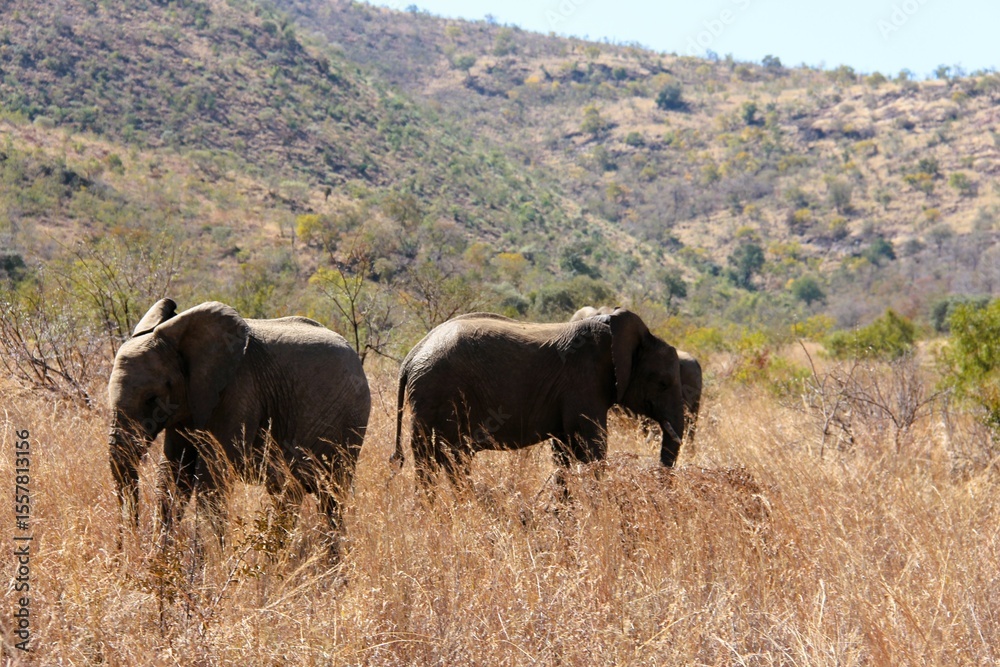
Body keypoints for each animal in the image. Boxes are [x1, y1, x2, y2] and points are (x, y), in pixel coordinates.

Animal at [107, 298, 371, 549]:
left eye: (152, 398)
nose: (126, 544)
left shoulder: (240, 390)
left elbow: (212, 476)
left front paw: (211, 559)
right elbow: (173, 474)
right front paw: (161, 557)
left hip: (349, 424)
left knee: (330, 496)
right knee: (291, 493)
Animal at [391, 308, 686, 485]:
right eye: (663, 383)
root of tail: (411, 357)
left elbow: (564, 453)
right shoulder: (584, 382)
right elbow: (593, 449)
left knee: (431, 460)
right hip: (438, 393)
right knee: (446, 457)